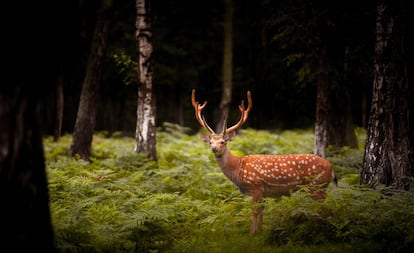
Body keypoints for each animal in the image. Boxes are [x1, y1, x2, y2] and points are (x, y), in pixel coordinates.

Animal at [191, 89, 336, 235]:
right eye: (210, 142)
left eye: (222, 142)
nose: (214, 148)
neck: (238, 168)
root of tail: (331, 167)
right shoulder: (263, 192)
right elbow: (261, 211)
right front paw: (259, 232)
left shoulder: (255, 186)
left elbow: (254, 212)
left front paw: (251, 234)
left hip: (316, 184)